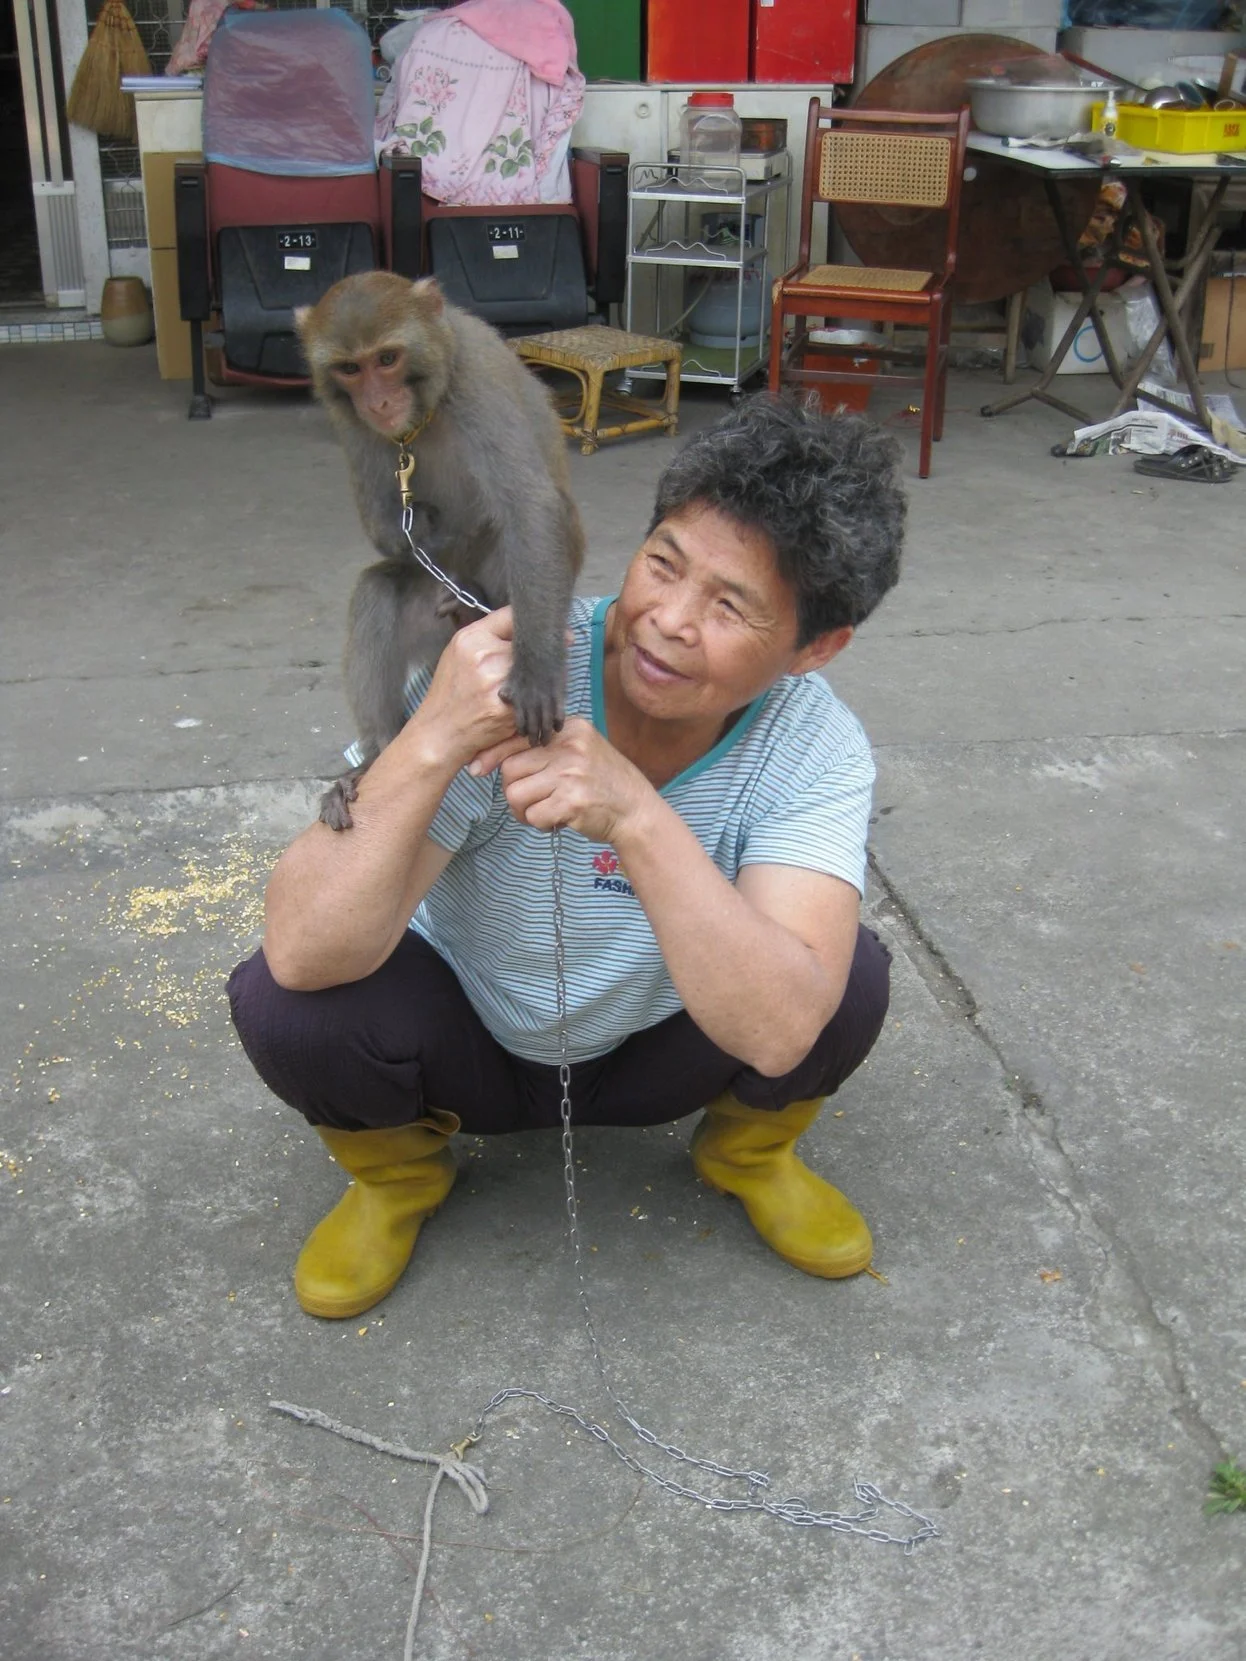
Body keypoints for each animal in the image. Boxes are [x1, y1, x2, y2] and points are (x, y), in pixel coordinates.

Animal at [295, 271, 585, 830]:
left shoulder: (476, 381)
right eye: (350, 368)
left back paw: (480, 605)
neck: (420, 417)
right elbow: (384, 526)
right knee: (378, 589)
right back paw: (374, 758)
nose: (378, 403)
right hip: (428, 618)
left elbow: (529, 506)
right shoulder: (348, 421)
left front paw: (536, 670)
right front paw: (421, 523)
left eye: (387, 359)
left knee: (511, 530)